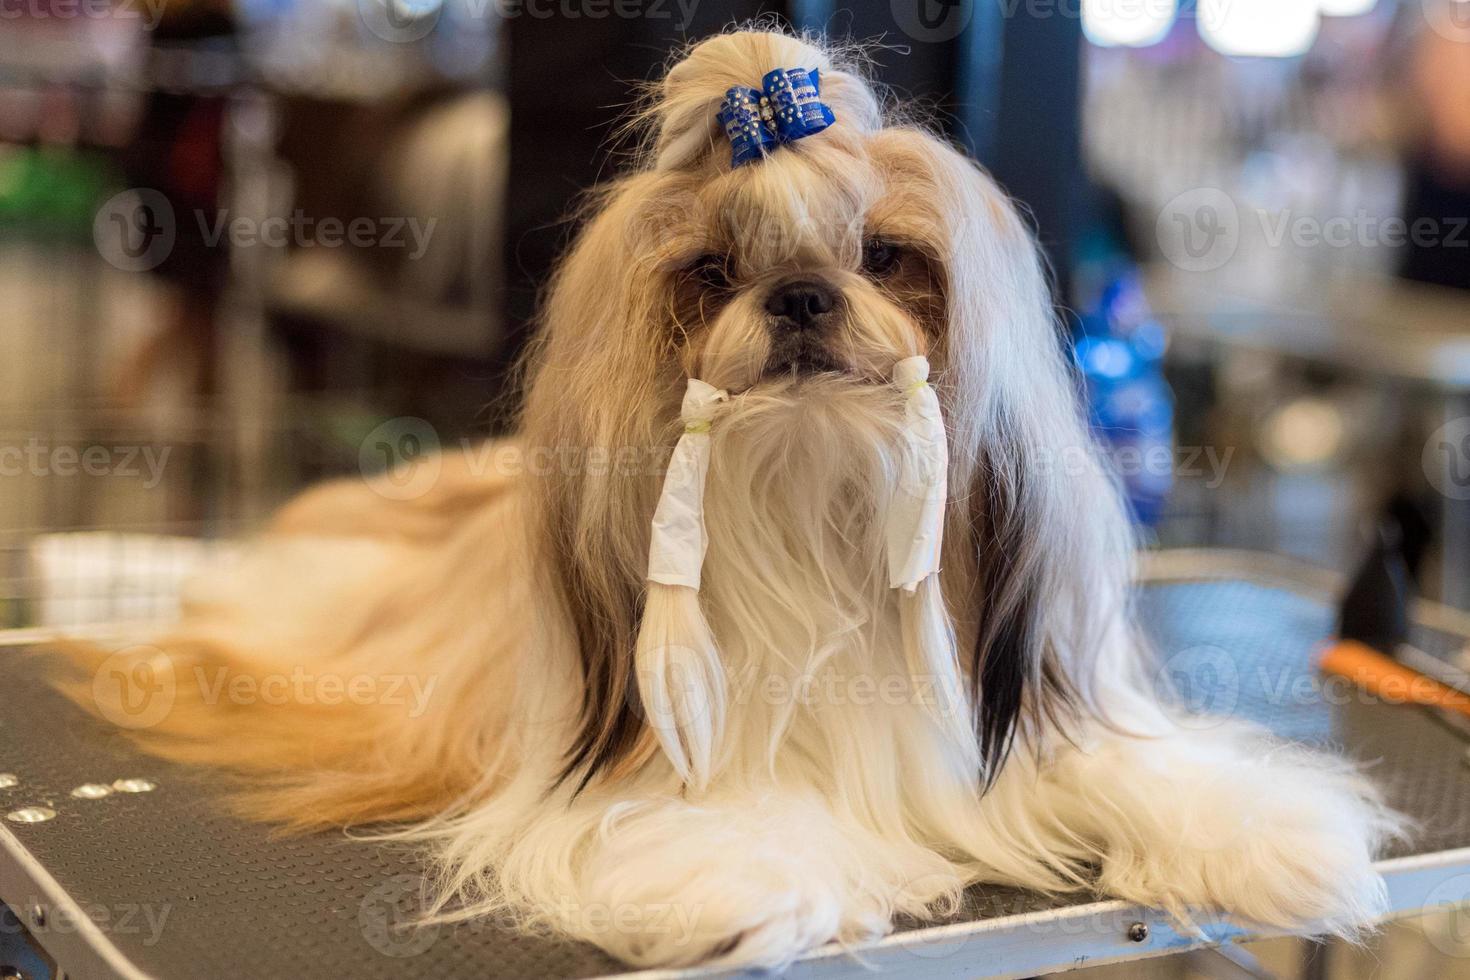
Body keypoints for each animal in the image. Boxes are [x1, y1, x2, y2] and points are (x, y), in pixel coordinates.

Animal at [71, 26, 1399, 969]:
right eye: (711, 274)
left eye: (885, 258)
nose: (800, 295)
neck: (819, 514)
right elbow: (701, 822)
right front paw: (749, 873)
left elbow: (1136, 767)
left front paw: (1262, 830)